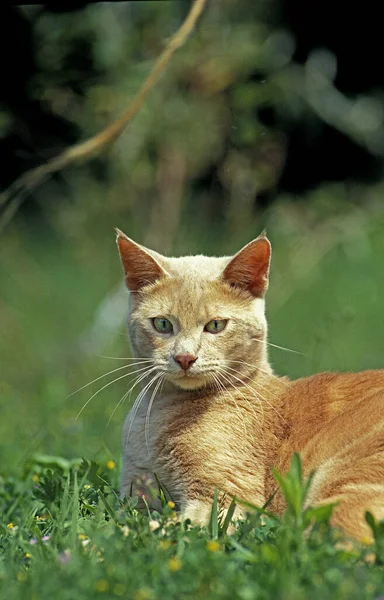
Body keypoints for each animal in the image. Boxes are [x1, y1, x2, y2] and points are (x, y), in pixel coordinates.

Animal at [117, 229, 384, 540]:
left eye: (216, 325)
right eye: (162, 324)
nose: (184, 357)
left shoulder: (223, 500)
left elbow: (152, 530)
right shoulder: (136, 492)